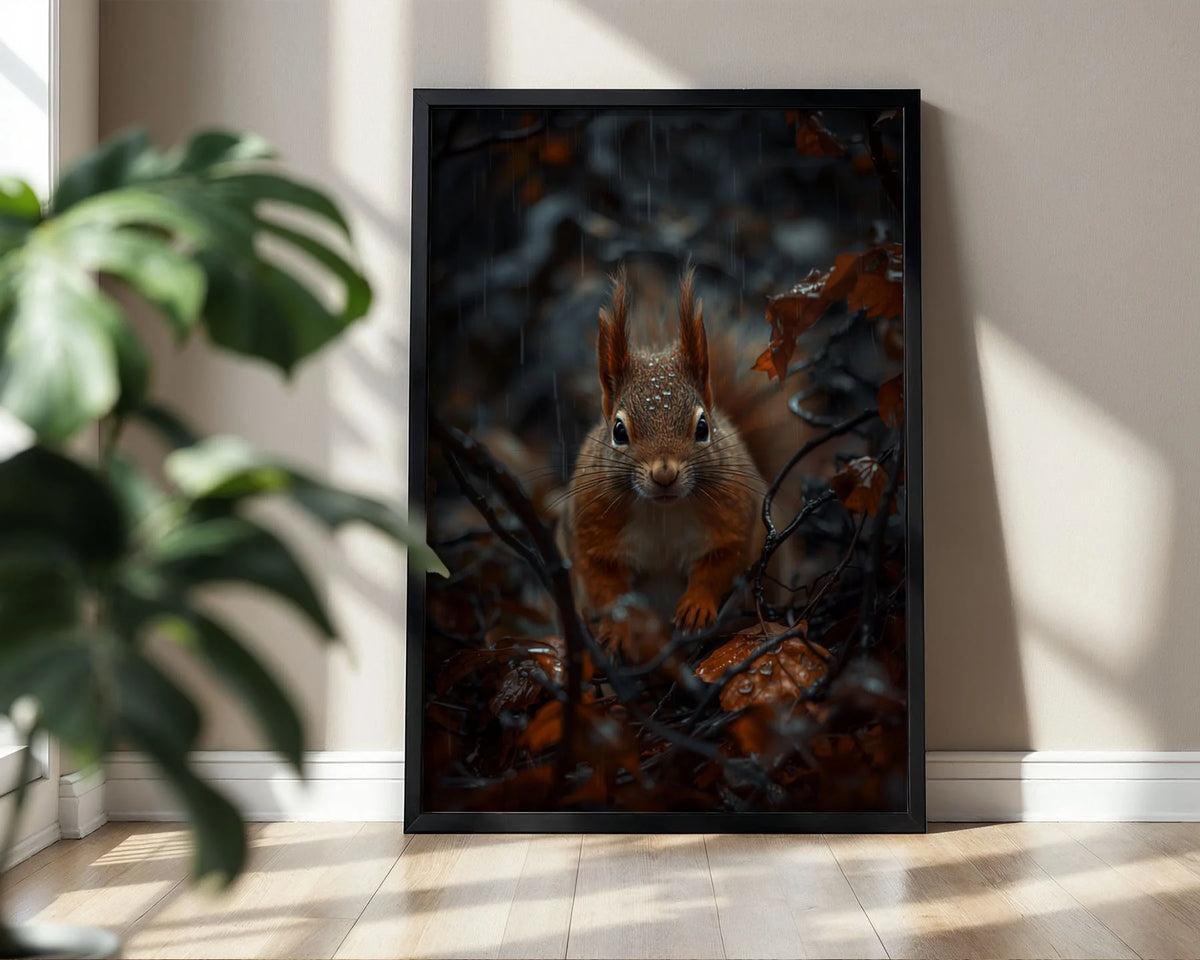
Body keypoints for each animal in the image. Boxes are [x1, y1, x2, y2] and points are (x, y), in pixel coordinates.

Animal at [556, 267, 802, 655]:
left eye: (703, 427)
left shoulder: (735, 517)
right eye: (618, 431)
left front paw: (696, 606)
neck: (663, 512)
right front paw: (618, 628)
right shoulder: (589, 527)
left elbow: (721, 563)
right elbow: (603, 582)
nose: (664, 473)